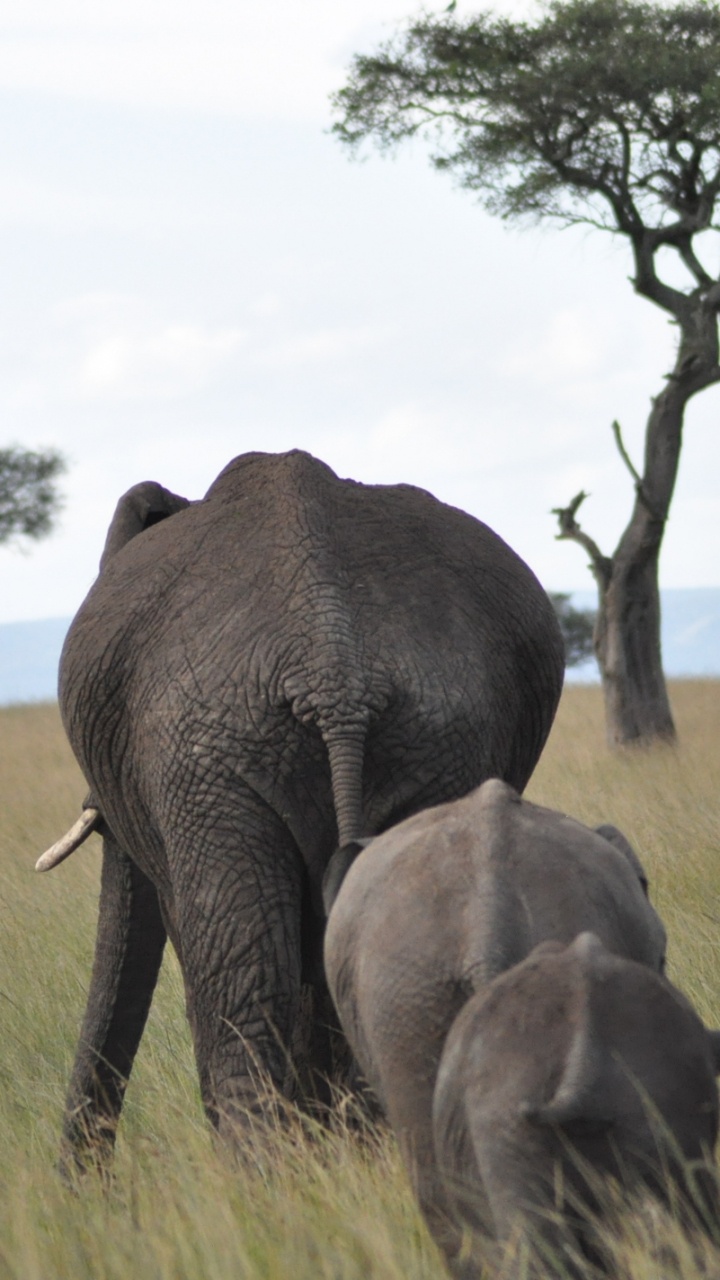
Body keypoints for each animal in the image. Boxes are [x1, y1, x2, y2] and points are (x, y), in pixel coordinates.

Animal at [40, 449, 564, 1170]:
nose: (82, 1182)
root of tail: (332, 664)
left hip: (212, 756)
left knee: (244, 987)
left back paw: (263, 1181)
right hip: (432, 741)